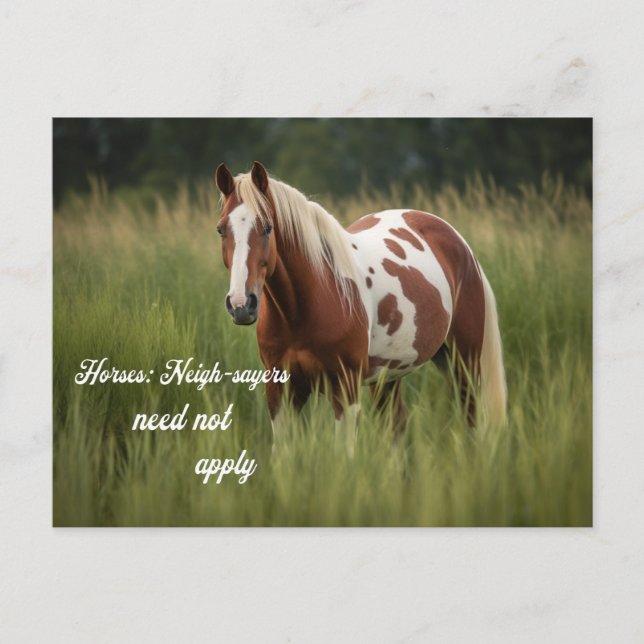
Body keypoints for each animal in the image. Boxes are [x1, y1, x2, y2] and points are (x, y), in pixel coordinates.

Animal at [214, 161, 507, 455]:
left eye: (267, 227)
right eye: (221, 230)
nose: (241, 304)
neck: (305, 308)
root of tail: (460, 243)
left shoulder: (345, 389)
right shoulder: (280, 392)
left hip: (465, 362)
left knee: (471, 421)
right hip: (389, 376)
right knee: (397, 427)